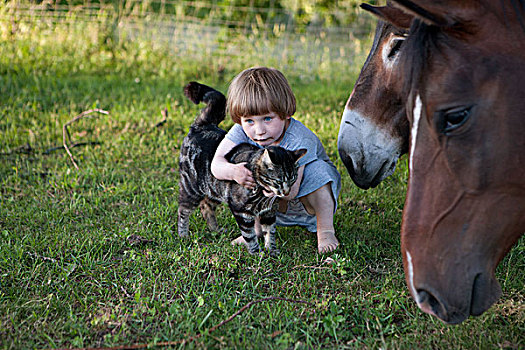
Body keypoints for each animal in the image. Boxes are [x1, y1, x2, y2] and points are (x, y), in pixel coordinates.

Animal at [178, 82, 304, 254]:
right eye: (278, 181)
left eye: (292, 180)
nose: (285, 193)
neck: (261, 193)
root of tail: (201, 126)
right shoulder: (241, 212)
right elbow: (250, 235)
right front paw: (256, 253)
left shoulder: (269, 212)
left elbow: (269, 231)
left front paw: (272, 251)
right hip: (191, 188)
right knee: (183, 210)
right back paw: (183, 235)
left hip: (213, 190)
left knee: (206, 207)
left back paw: (216, 230)